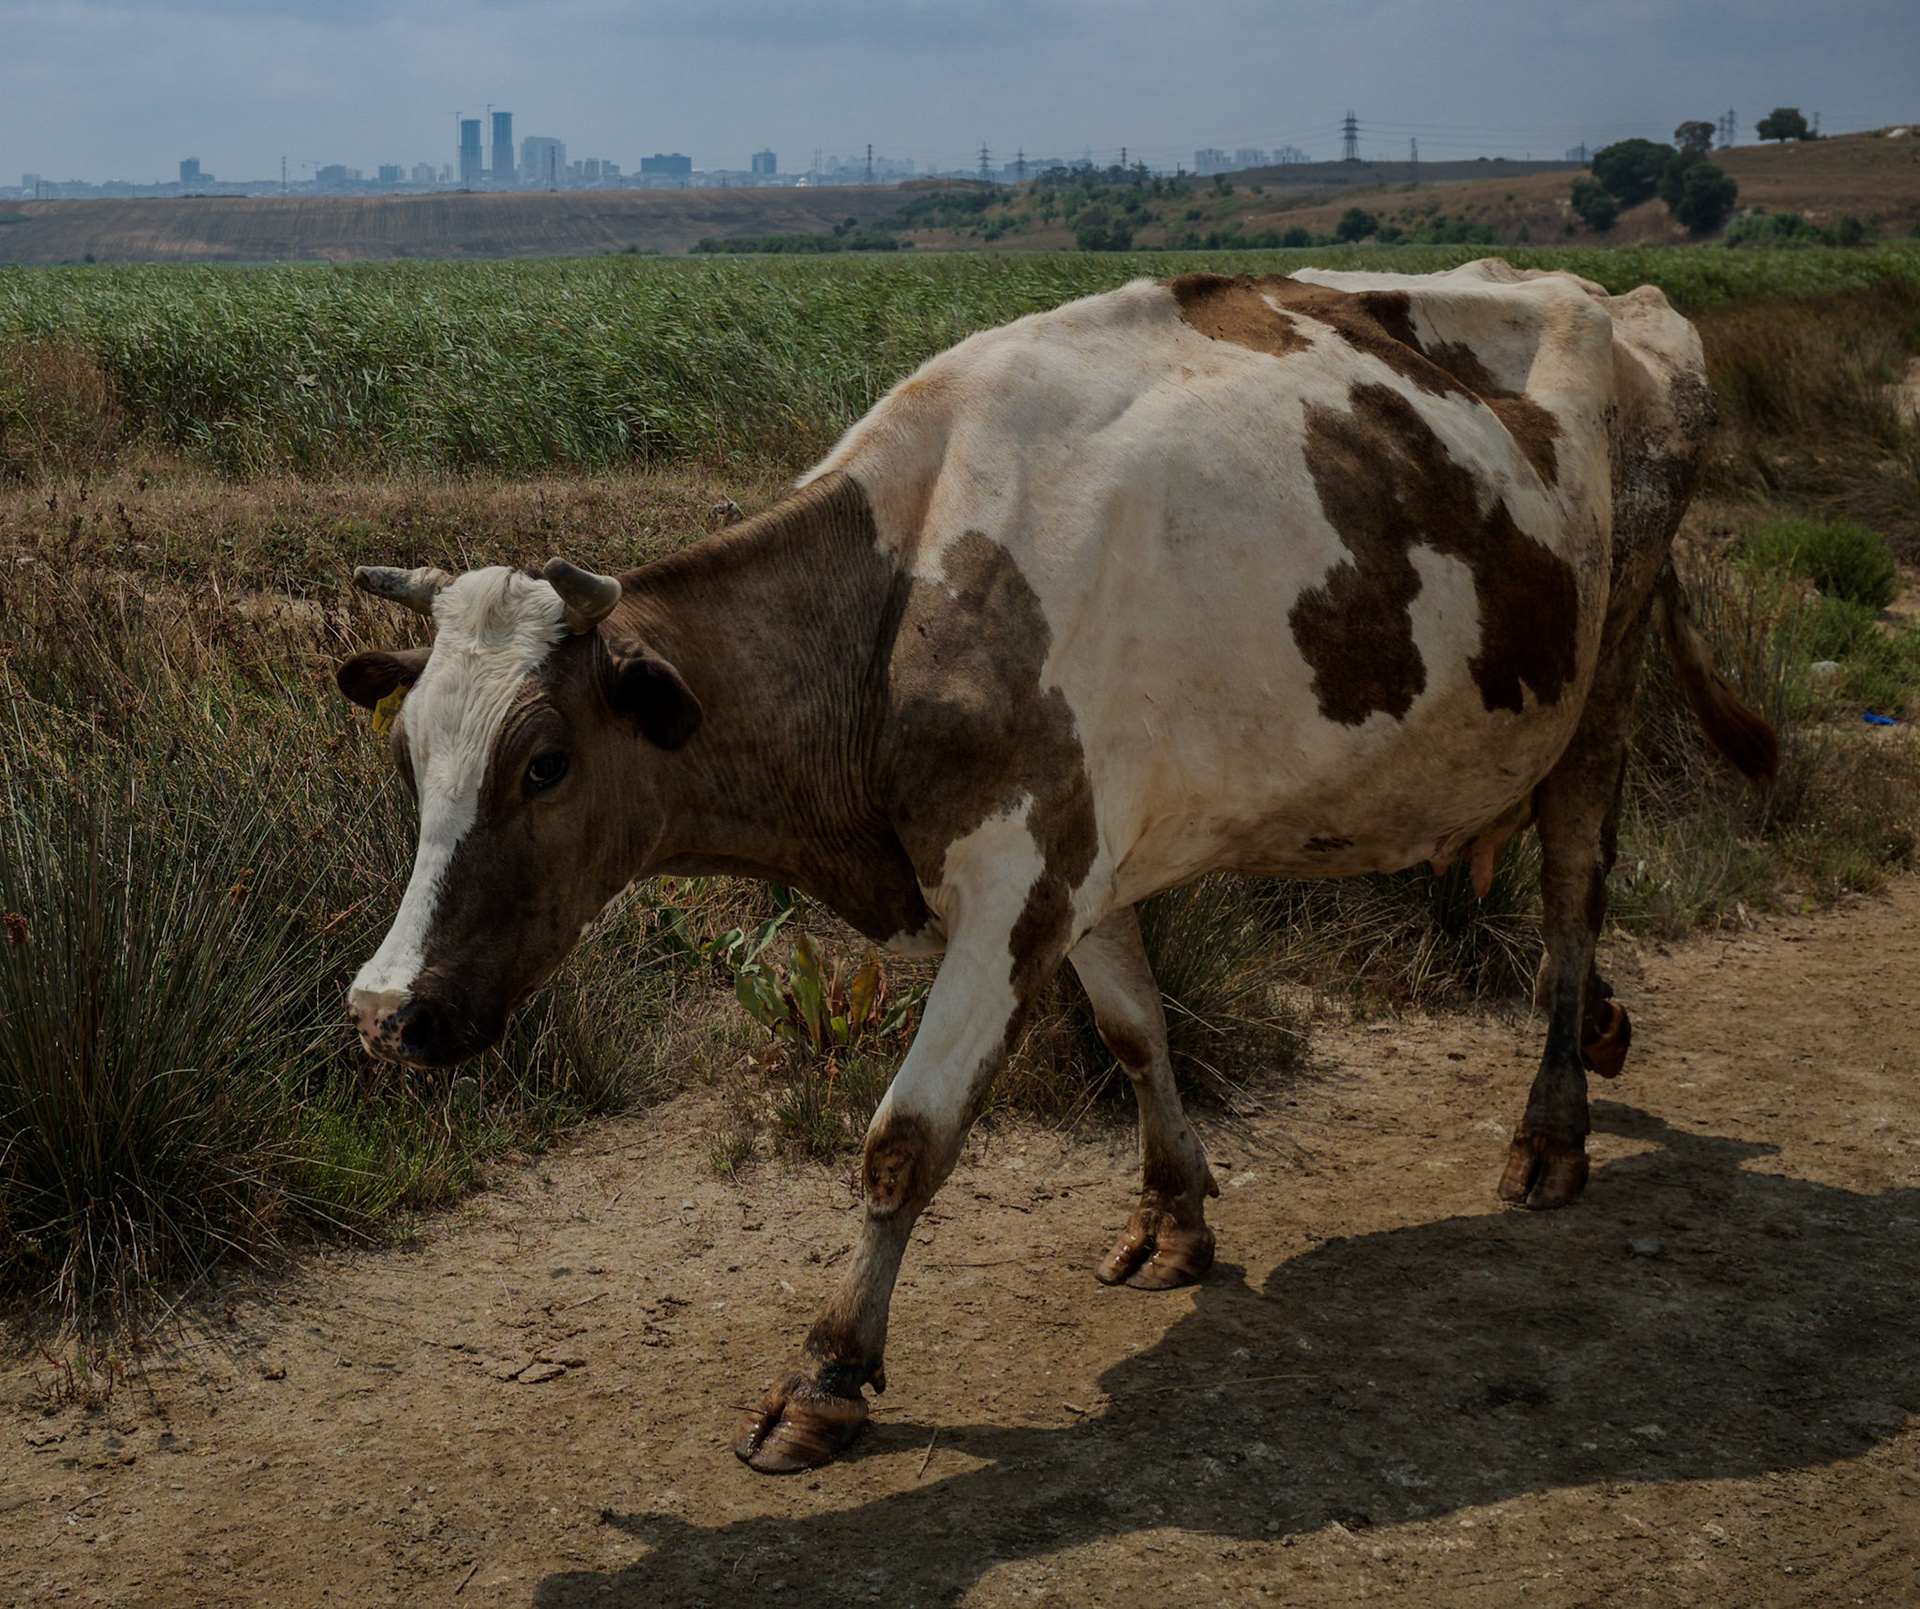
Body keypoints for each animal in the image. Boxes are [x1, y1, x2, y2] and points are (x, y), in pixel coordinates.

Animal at [334, 261, 1776, 1475]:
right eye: (407, 758)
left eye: (544, 765)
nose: (383, 1011)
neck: (904, 602)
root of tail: (1612, 297)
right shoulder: (1084, 867)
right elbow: (1137, 1030)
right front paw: (1175, 1218)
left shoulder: (1017, 888)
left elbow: (902, 1143)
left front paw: (825, 1376)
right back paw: (1603, 1032)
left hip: (1605, 679)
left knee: (1575, 889)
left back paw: (1553, 1128)